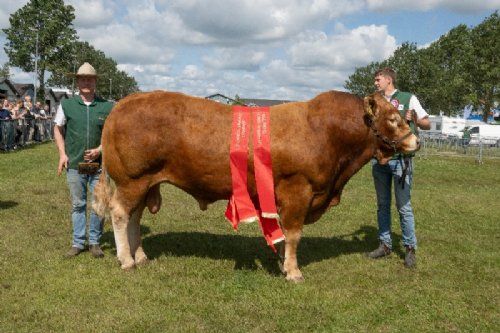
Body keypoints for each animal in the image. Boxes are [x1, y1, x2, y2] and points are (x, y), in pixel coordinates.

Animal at [94, 90, 418, 280]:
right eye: (393, 118)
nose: (415, 141)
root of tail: (123, 102)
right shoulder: (298, 190)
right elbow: (294, 234)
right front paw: (293, 271)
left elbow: (283, 233)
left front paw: (281, 262)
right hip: (132, 180)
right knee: (120, 214)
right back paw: (126, 259)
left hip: (144, 183)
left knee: (134, 217)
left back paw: (140, 256)